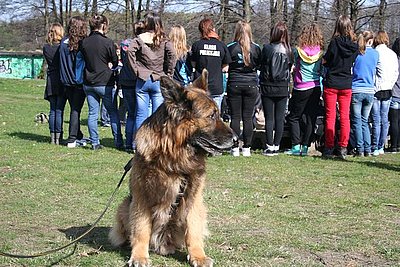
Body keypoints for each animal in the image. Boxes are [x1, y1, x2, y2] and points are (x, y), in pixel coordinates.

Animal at [108, 70, 234, 266]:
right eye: (211, 116)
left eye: (219, 114)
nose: (236, 139)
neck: (173, 157)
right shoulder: (141, 197)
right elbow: (141, 229)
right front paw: (139, 256)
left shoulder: (193, 198)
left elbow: (193, 230)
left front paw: (198, 256)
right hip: (124, 206)